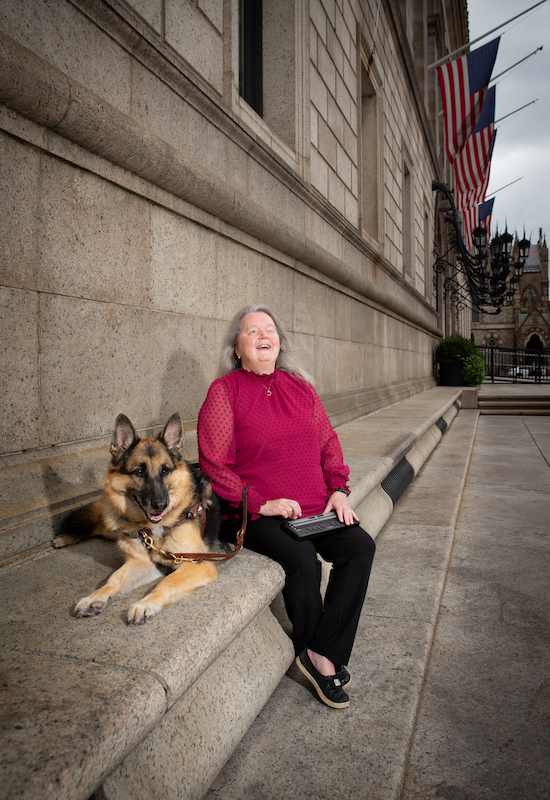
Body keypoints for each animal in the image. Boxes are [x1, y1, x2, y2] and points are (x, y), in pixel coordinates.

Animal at [56, 412, 220, 624]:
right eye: (139, 472)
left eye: (165, 471)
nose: (161, 505)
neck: (152, 530)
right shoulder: (142, 562)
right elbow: (114, 579)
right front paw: (94, 598)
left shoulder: (197, 564)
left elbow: (166, 583)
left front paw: (144, 604)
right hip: (113, 523)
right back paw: (64, 538)